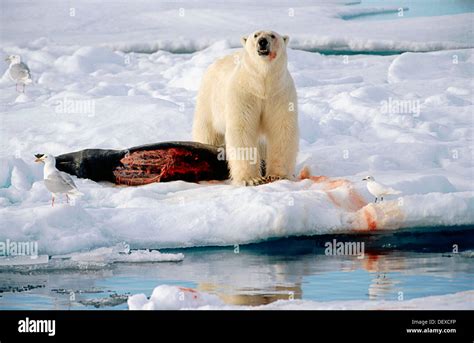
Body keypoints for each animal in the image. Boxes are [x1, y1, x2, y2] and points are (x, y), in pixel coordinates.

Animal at [192, 29, 296, 185]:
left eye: (273, 35)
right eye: (256, 35)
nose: (262, 42)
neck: (262, 84)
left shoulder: (280, 93)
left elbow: (281, 128)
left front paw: (277, 176)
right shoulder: (244, 93)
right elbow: (242, 128)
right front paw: (251, 179)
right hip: (208, 99)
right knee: (207, 131)